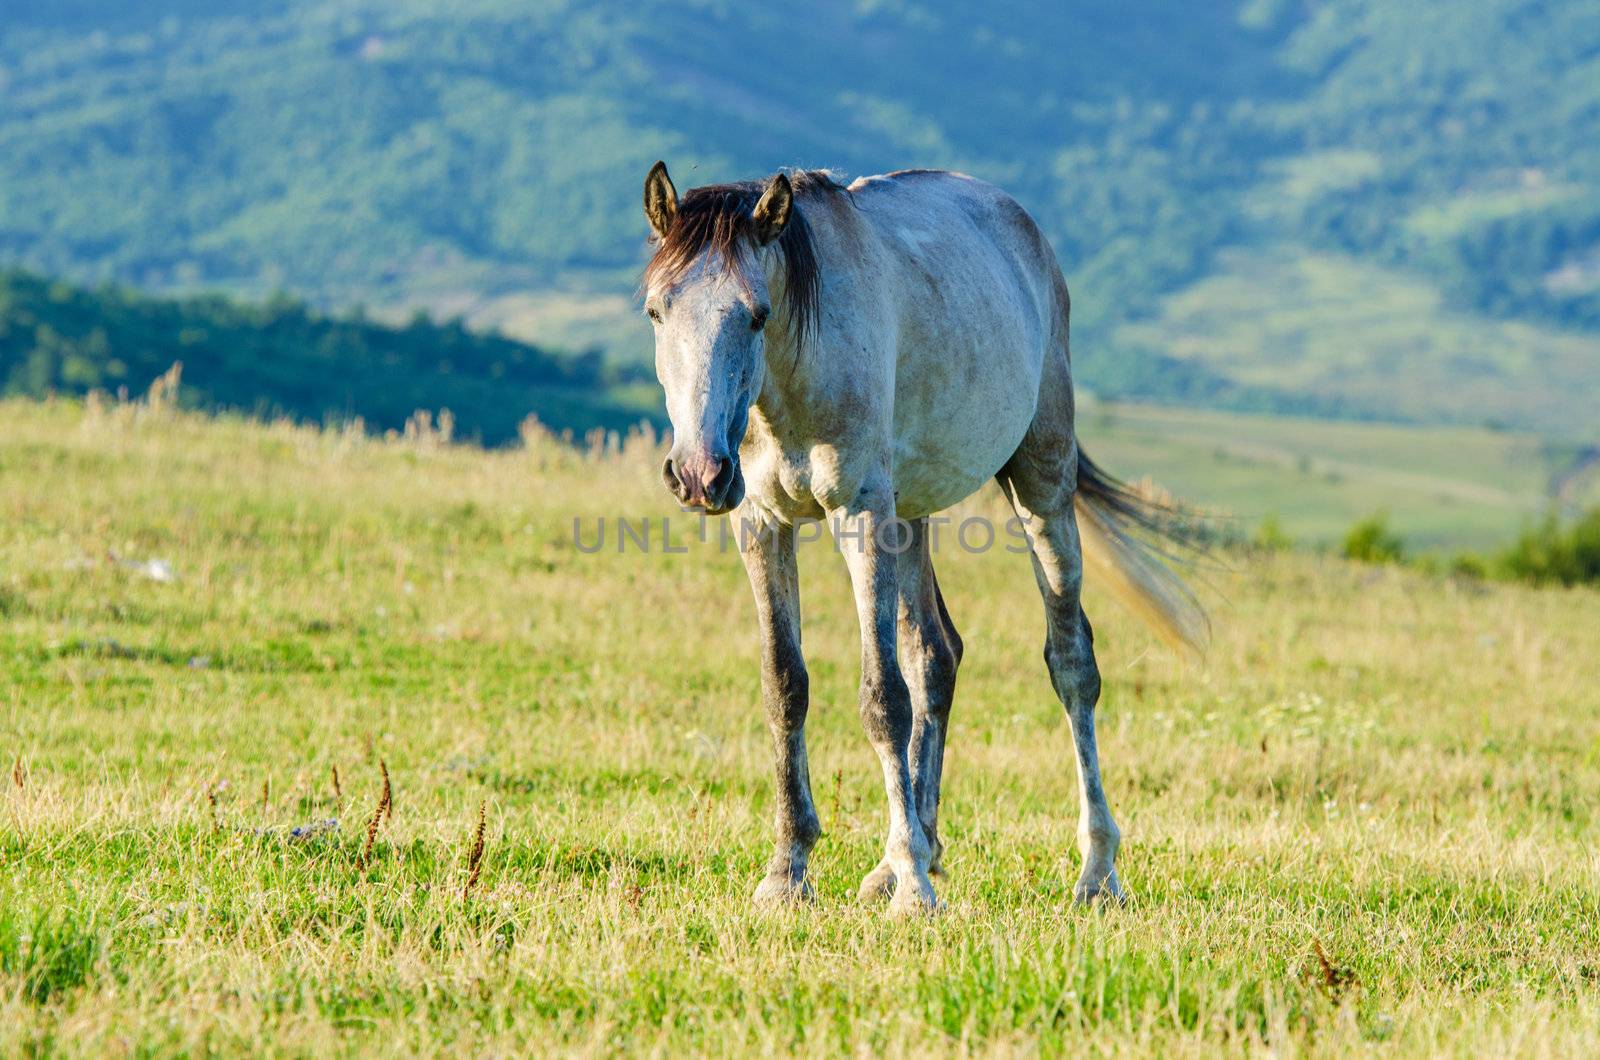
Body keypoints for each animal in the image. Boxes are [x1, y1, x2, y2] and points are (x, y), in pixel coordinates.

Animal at [636, 164, 1203, 915]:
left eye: (756, 313)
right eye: (656, 311)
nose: (699, 474)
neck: (796, 370)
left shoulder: (862, 516)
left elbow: (884, 699)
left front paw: (912, 887)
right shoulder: (761, 524)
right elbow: (786, 686)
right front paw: (789, 872)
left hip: (1041, 482)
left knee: (1071, 664)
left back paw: (1095, 871)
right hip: (913, 516)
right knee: (936, 655)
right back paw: (908, 855)